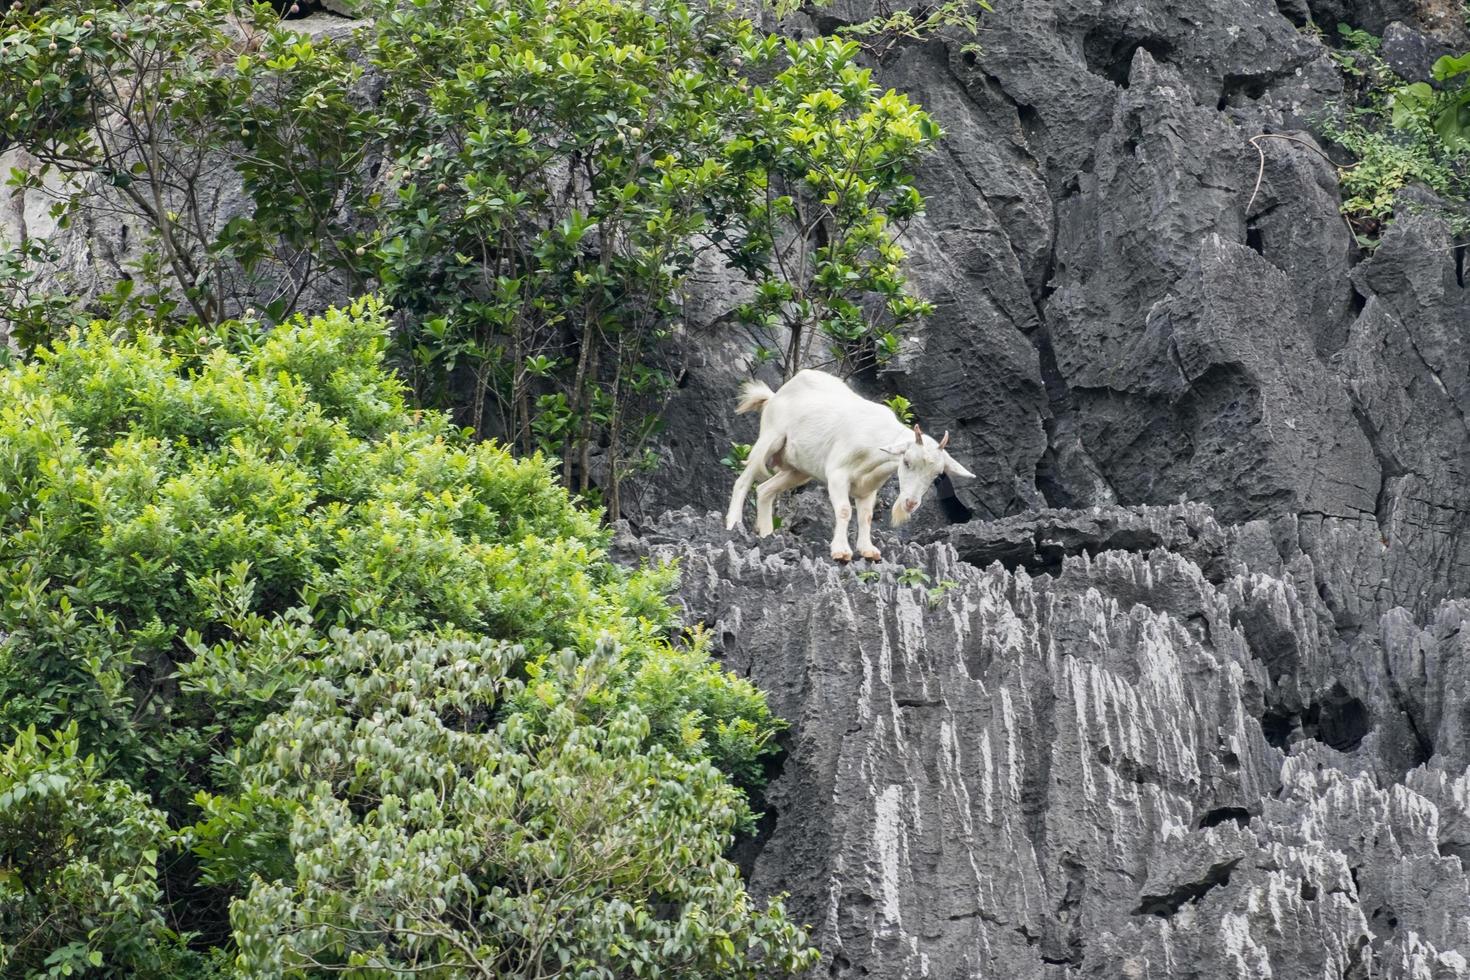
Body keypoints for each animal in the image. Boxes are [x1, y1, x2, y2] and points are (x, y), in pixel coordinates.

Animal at [723, 367, 976, 564]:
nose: (911, 503)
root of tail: (774, 395)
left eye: (936, 475)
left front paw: (868, 550)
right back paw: (733, 523)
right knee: (743, 480)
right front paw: (841, 551)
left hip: (798, 470)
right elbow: (844, 510)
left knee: (764, 490)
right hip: (769, 438)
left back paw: (766, 534)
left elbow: (866, 516)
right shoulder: (837, 474)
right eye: (906, 462)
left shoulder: (868, 488)